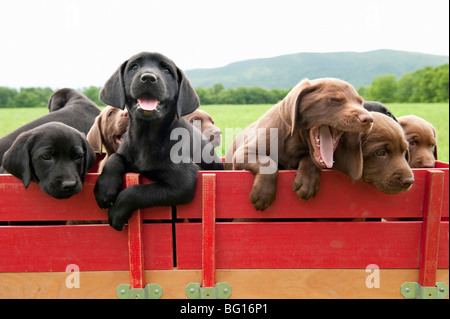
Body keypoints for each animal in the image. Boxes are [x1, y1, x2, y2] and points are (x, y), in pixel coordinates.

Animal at [93, 51, 223, 231]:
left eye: (167, 71)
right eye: (134, 67)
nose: (148, 77)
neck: (146, 136)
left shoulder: (182, 183)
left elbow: (136, 191)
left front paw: (116, 212)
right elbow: (114, 157)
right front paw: (105, 188)